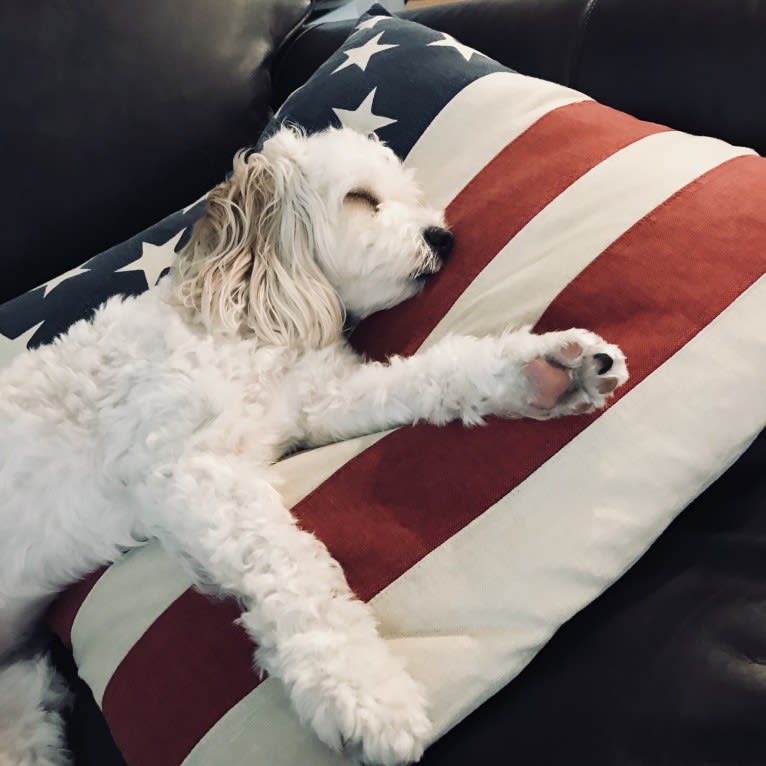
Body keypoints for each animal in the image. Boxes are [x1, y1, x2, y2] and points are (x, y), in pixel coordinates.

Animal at [0, 127, 632, 766]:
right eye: (360, 198)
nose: (443, 236)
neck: (246, 325)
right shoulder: (188, 471)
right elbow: (291, 570)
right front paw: (365, 694)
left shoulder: (320, 401)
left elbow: (431, 374)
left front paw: (544, 370)